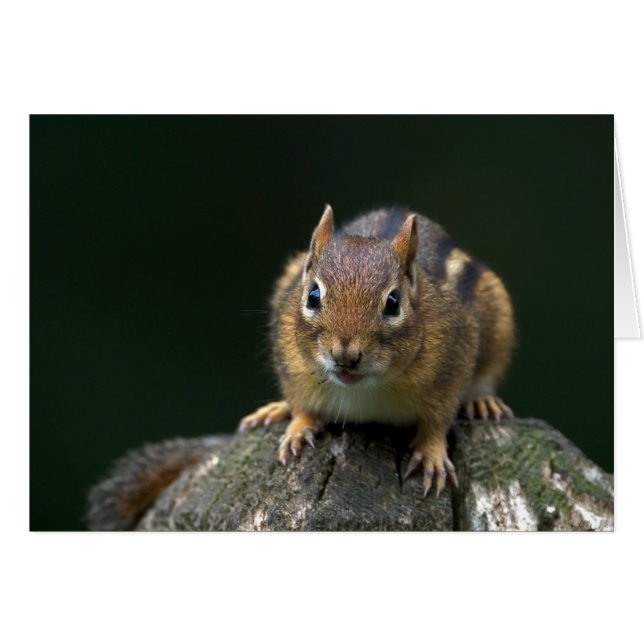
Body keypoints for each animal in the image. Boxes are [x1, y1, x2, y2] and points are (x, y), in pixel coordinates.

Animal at [239, 205, 514, 497]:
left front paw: (433, 454)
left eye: (393, 303)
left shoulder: (450, 371)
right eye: (313, 296)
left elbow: (437, 422)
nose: (345, 356)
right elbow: (303, 406)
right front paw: (297, 429)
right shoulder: (293, 368)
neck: (365, 389)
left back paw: (482, 401)